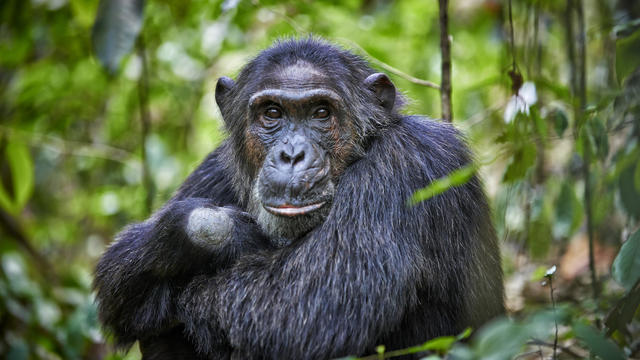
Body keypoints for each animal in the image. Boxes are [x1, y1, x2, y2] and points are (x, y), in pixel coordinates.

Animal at [95, 38, 504, 358]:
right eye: (272, 112)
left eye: (321, 112)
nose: (292, 154)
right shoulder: (214, 169)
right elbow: (120, 269)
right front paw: (233, 234)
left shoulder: (410, 162)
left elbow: (310, 306)